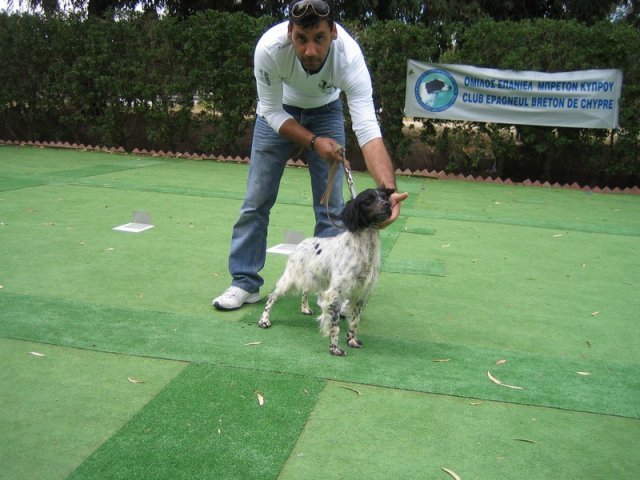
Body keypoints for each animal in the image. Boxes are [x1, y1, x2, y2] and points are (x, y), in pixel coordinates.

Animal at [258, 188, 392, 356]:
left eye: (385, 196)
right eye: (368, 200)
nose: (388, 204)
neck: (365, 248)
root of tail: (300, 243)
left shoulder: (361, 293)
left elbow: (354, 321)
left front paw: (352, 341)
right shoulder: (335, 294)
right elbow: (335, 326)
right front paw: (334, 348)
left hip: (315, 278)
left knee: (305, 291)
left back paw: (304, 308)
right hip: (288, 280)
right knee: (271, 298)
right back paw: (264, 320)